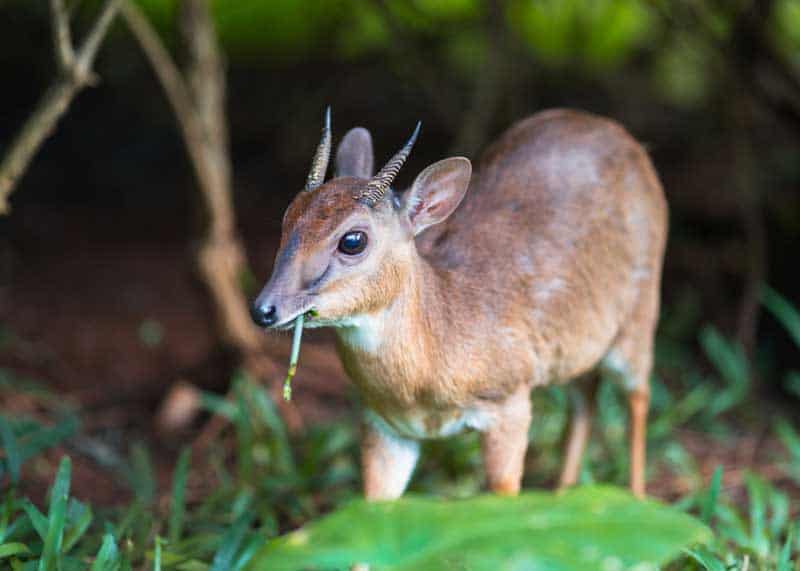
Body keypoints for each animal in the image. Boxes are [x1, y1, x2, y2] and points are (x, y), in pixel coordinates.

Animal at [253, 107, 664, 500]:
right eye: (288, 216)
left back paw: (638, 500)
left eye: (353, 240)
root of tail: (625, 138)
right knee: (585, 396)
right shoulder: (383, 426)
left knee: (638, 396)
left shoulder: (510, 402)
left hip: (640, 314)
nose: (263, 309)